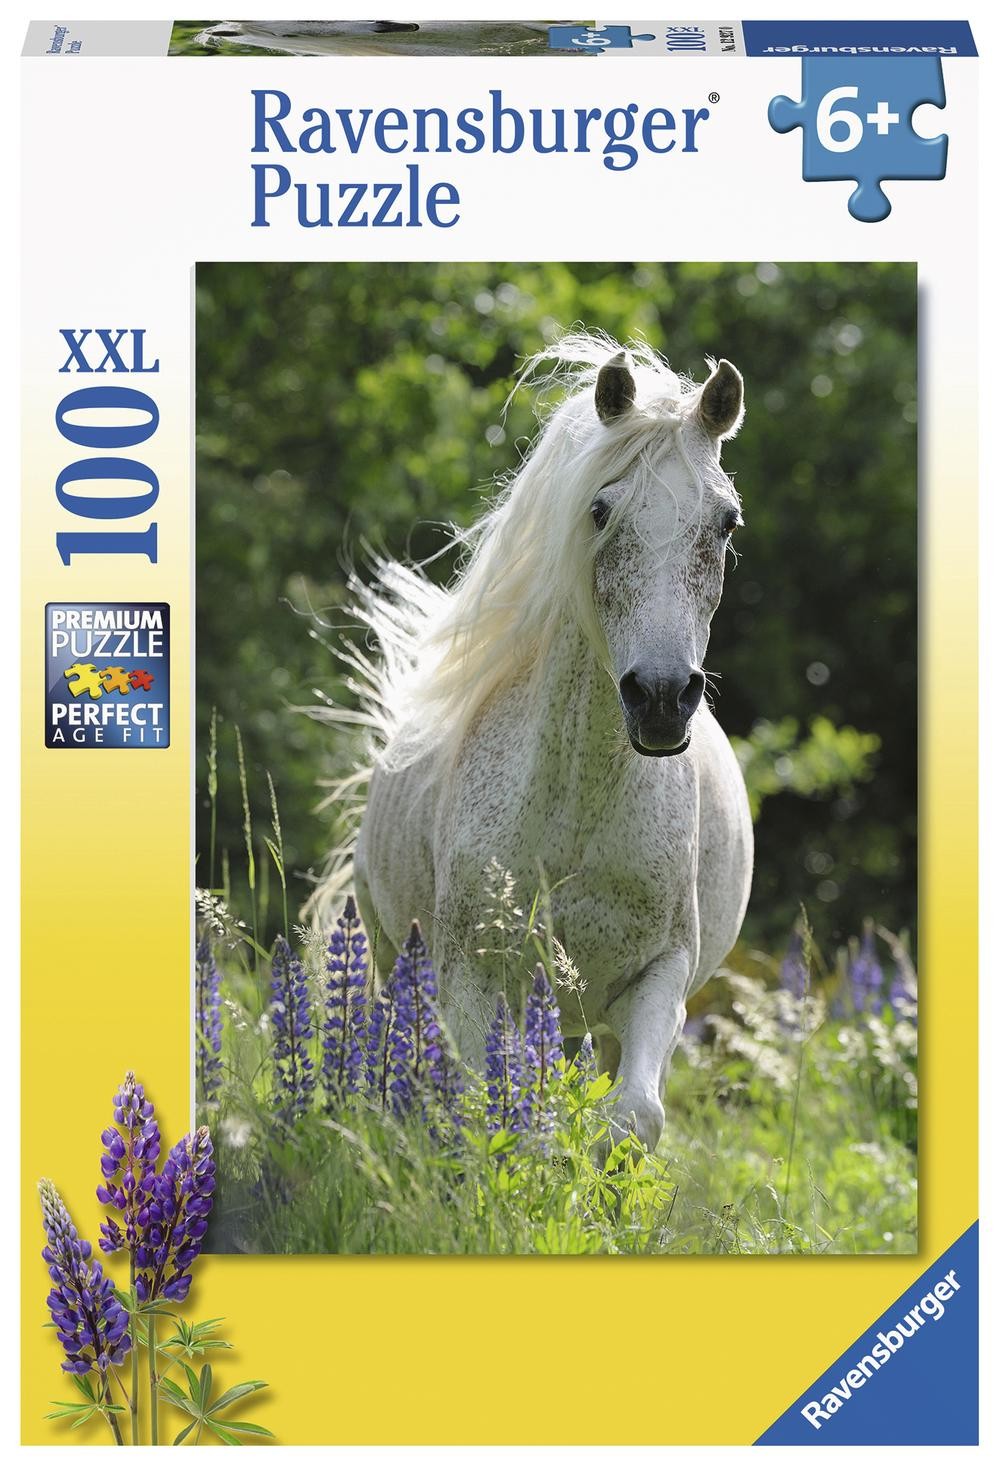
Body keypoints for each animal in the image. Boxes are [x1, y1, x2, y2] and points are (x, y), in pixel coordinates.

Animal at [326, 333, 753, 1151]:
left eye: (725, 522)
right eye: (601, 509)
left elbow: (633, 1116)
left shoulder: (660, 976)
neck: (579, 805)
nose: (660, 699)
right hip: (394, 958)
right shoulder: (472, 978)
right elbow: (488, 1113)